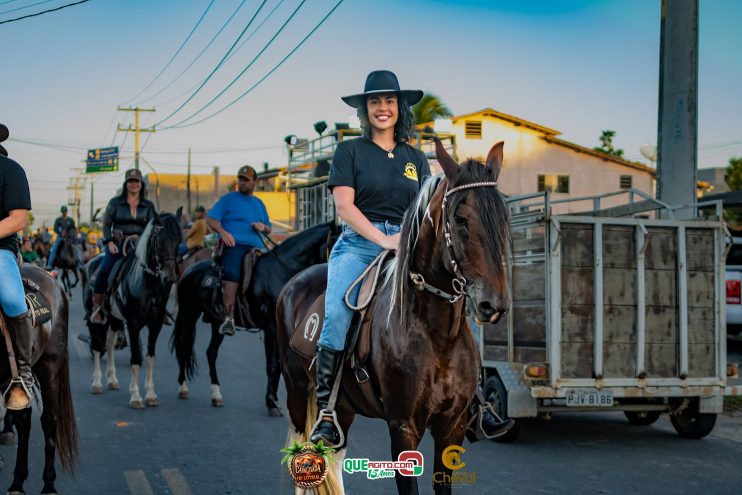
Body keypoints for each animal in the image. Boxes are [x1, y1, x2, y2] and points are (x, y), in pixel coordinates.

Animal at [276, 140, 516, 495]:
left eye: (504, 216)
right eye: (460, 218)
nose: (494, 304)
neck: (435, 335)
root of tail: (294, 283)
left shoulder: (453, 427)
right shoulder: (403, 427)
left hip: (343, 406)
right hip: (295, 389)